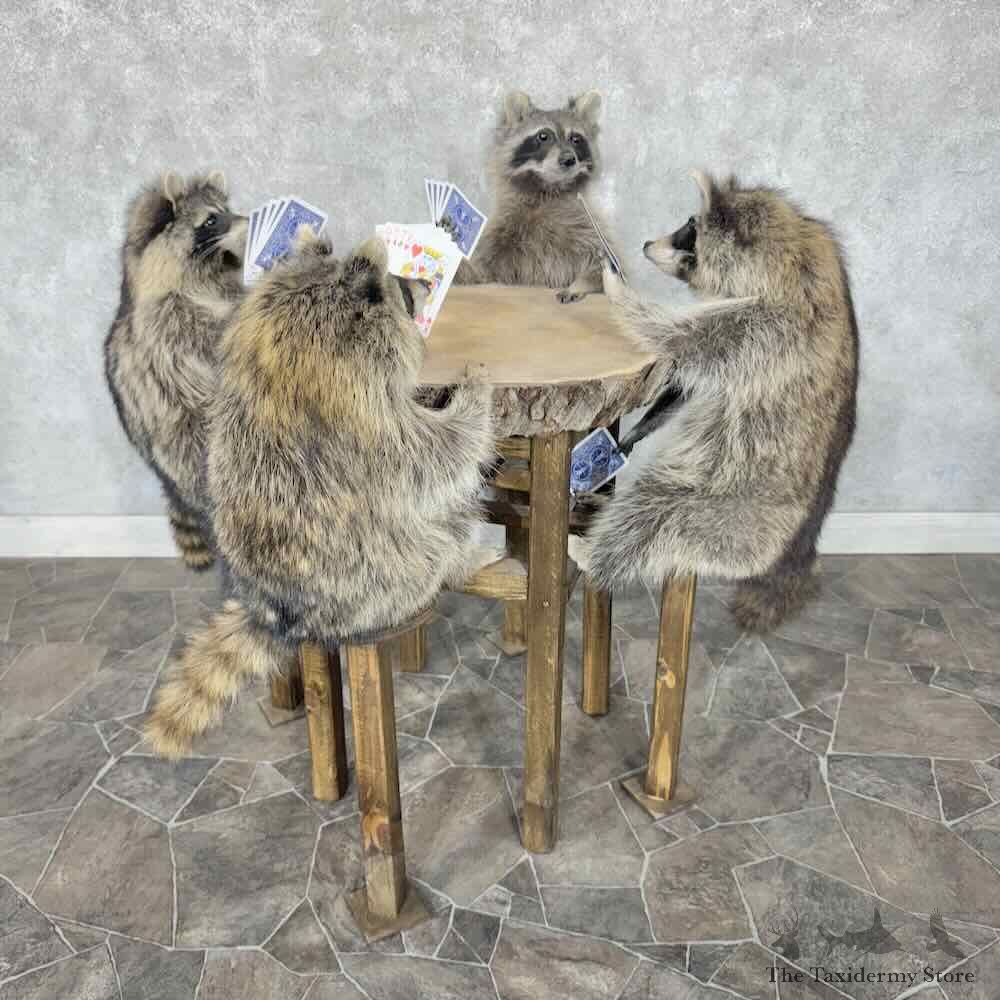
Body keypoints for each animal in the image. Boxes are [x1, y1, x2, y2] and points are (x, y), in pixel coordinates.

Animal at [104, 171, 247, 570]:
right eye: (211, 219)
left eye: (227, 209)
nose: (246, 221)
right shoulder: (167, 319)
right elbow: (211, 342)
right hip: (182, 433)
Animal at [146, 232, 497, 757]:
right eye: (400, 287)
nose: (426, 284)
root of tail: (283, 617)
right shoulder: (360, 411)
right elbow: (436, 456)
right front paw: (474, 395)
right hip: (392, 578)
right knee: (446, 532)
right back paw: (471, 555)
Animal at [456, 90, 617, 303]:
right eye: (543, 136)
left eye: (575, 138)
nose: (569, 159)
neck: (547, 188)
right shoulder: (501, 234)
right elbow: (481, 271)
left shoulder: (588, 227)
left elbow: (606, 270)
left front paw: (580, 284)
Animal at [572, 172, 859, 632]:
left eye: (690, 228)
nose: (647, 244)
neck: (787, 246)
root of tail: (798, 545)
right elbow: (688, 382)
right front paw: (635, 432)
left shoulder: (771, 325)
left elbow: (680, 339)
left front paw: (617, 288)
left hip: (733, 515)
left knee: (654, 514)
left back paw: (596, 553)